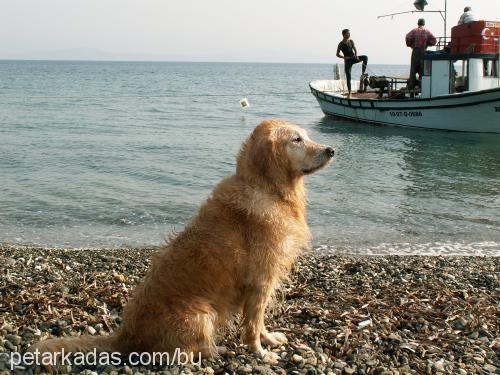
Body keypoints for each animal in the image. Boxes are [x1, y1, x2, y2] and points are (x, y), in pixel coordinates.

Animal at [26, 120, 332, 368]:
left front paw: (270, 339)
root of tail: (125, 335)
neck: (269, 189)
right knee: (180, 354)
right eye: (296, 139)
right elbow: (252, 326)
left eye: (305, 135)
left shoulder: (263, 285)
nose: (331, 150)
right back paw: (215, 350)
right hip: (201, 315)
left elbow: (260, 322)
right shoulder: (260, 281)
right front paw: (259, 353)